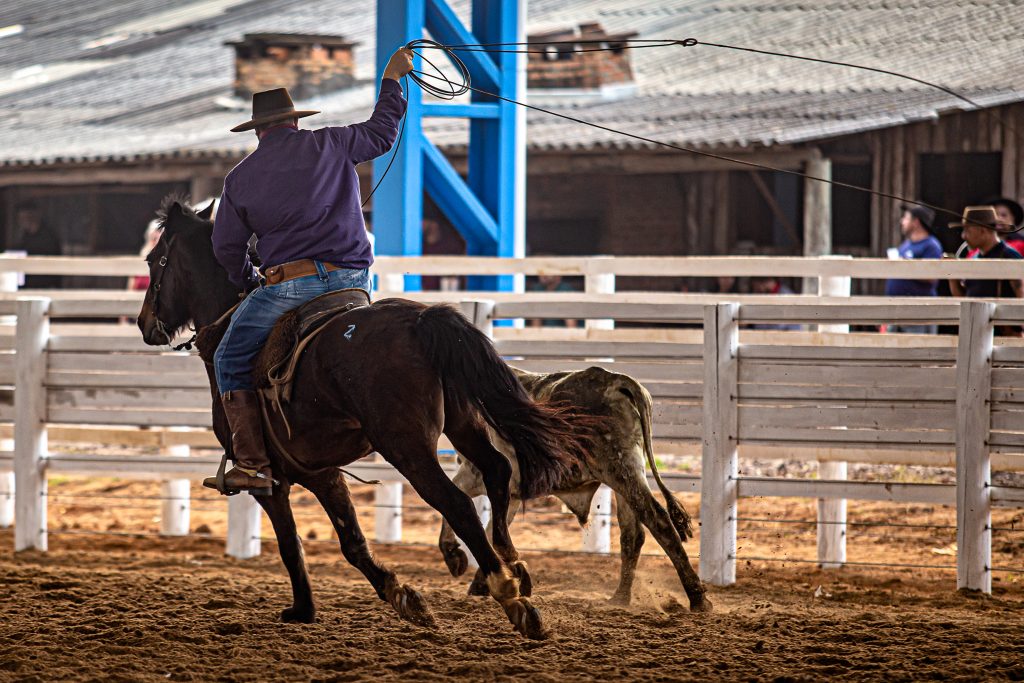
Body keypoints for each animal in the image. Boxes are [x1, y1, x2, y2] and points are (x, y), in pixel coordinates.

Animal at [136, 198, 585, 643]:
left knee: (457, 502)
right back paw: (515, 565)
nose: (144, 324)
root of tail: (420, 322)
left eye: (155, 260)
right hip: (463, 424)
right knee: (497, 469)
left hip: (407, 447)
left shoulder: (272, 480)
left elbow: (290, 544)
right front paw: (401, 595)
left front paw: (304, 609)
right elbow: (350, 540)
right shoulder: (321, 471)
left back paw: (509, 594)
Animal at [440, 366, 712, 610]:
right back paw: (621, 598)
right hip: (627, 475)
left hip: (620, 470)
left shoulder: (476, 473)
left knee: (659, 521)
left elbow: (459, 504)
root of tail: (618, 381)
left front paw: (454, 554)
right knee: (633, 534)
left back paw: (697, 598)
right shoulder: (512, 492)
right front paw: (482, 584)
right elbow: (493, 530)